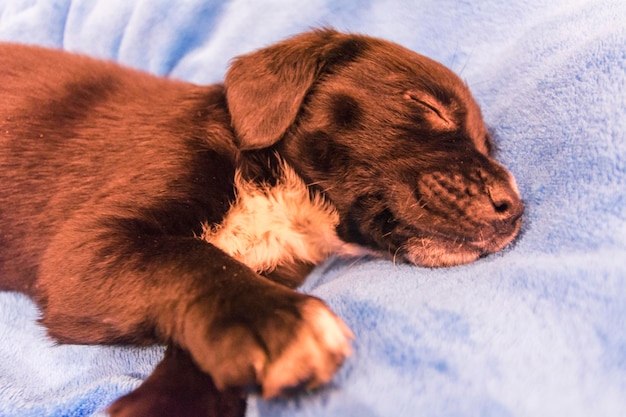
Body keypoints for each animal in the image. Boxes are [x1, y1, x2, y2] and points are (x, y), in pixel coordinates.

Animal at [0, 27, 520, 414]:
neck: (282, 194)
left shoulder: (278, 267)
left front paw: (174, 403)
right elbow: (193, 258)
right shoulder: (89, 246)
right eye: (427, 107)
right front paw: (277, 323)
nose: (514, 208)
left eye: (488, 145)